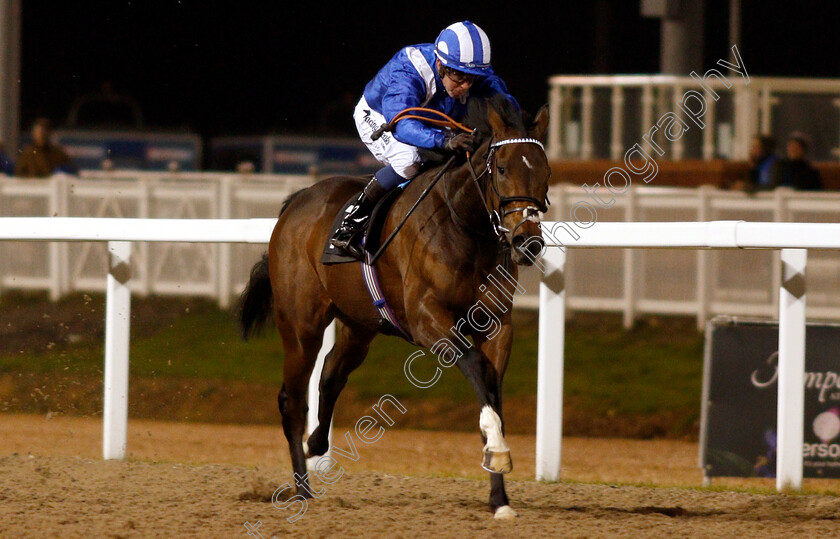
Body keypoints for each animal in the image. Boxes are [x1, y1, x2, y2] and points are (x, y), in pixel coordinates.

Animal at [238, 95, 552, 520]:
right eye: (502, 168)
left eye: (545, 170)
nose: (526, 242)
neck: (464, 225)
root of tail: (294, 203)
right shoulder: (426, 318)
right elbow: (475, 366)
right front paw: (498, 452)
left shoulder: (496, 324)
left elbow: (491, 387)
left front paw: (499, 495)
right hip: (301, 325)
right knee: (292, 399)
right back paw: (302, 490)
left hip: (359, 324)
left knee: (331, 375)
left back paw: (317, 444)